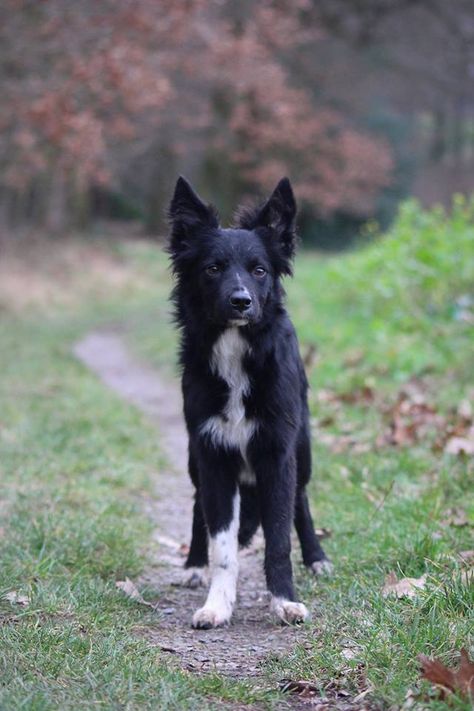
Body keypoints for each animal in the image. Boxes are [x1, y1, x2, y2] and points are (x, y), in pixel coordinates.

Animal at [168, 177, 332, 628]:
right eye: (213, 268)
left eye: (259, 270)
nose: (241, 300)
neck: (236, 352)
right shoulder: (212, 453)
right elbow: (222, 545)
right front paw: (217, 604)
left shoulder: (278, 452)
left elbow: (278, 538)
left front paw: (285, 600)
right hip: (194, 459)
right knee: (197, 508)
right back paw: (192, 565)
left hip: (303, 450)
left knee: (301, 501)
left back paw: (317, 558)